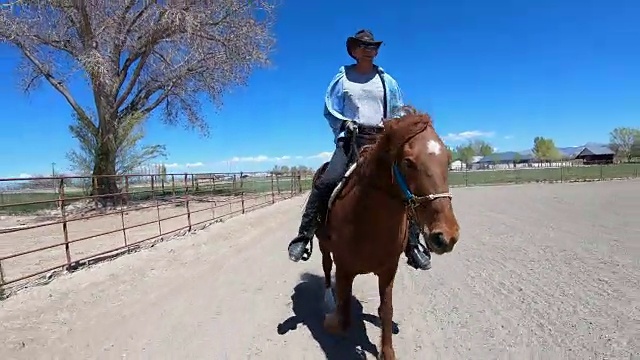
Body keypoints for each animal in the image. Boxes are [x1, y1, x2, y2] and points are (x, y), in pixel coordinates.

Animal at [312, 105, 458, 358]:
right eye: (408, 162)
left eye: (447, 159)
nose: (446, 236)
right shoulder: (344, 269)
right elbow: (343, 317)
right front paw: (331, 320)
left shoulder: (389, 270)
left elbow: (386, 310)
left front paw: (386, 352)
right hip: (323, 247)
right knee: (326, 269)